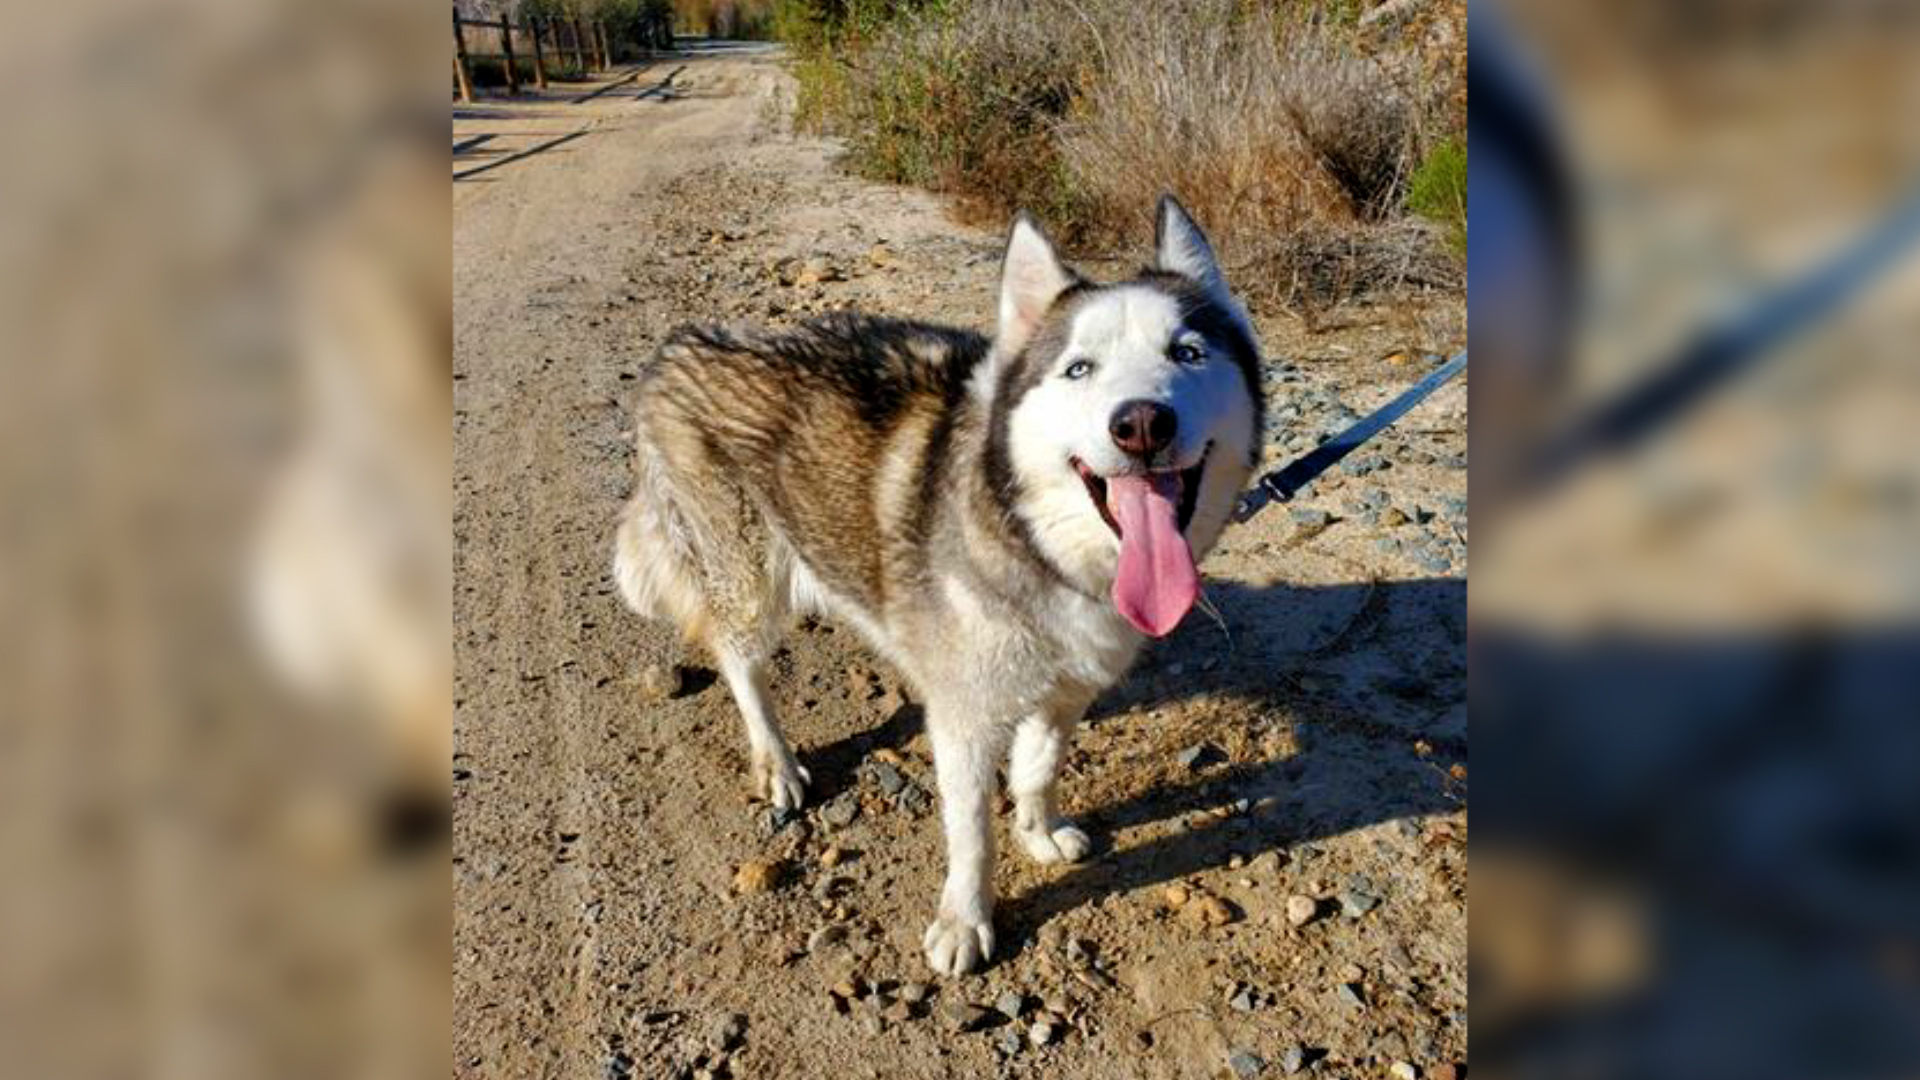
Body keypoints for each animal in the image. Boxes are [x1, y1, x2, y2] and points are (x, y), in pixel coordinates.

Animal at [614, 197, 1267, 972]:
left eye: (1188, 353)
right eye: (1079, 368)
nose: (1141, 423)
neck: (1039, 545)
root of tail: (678, 348)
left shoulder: (1067, 689)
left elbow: (1039, 767)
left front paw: (1038, 831)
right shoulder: (962, 718)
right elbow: (971, 831)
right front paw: (965, 921)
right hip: (748, 579)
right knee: (740, 663)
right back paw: (776, 762)